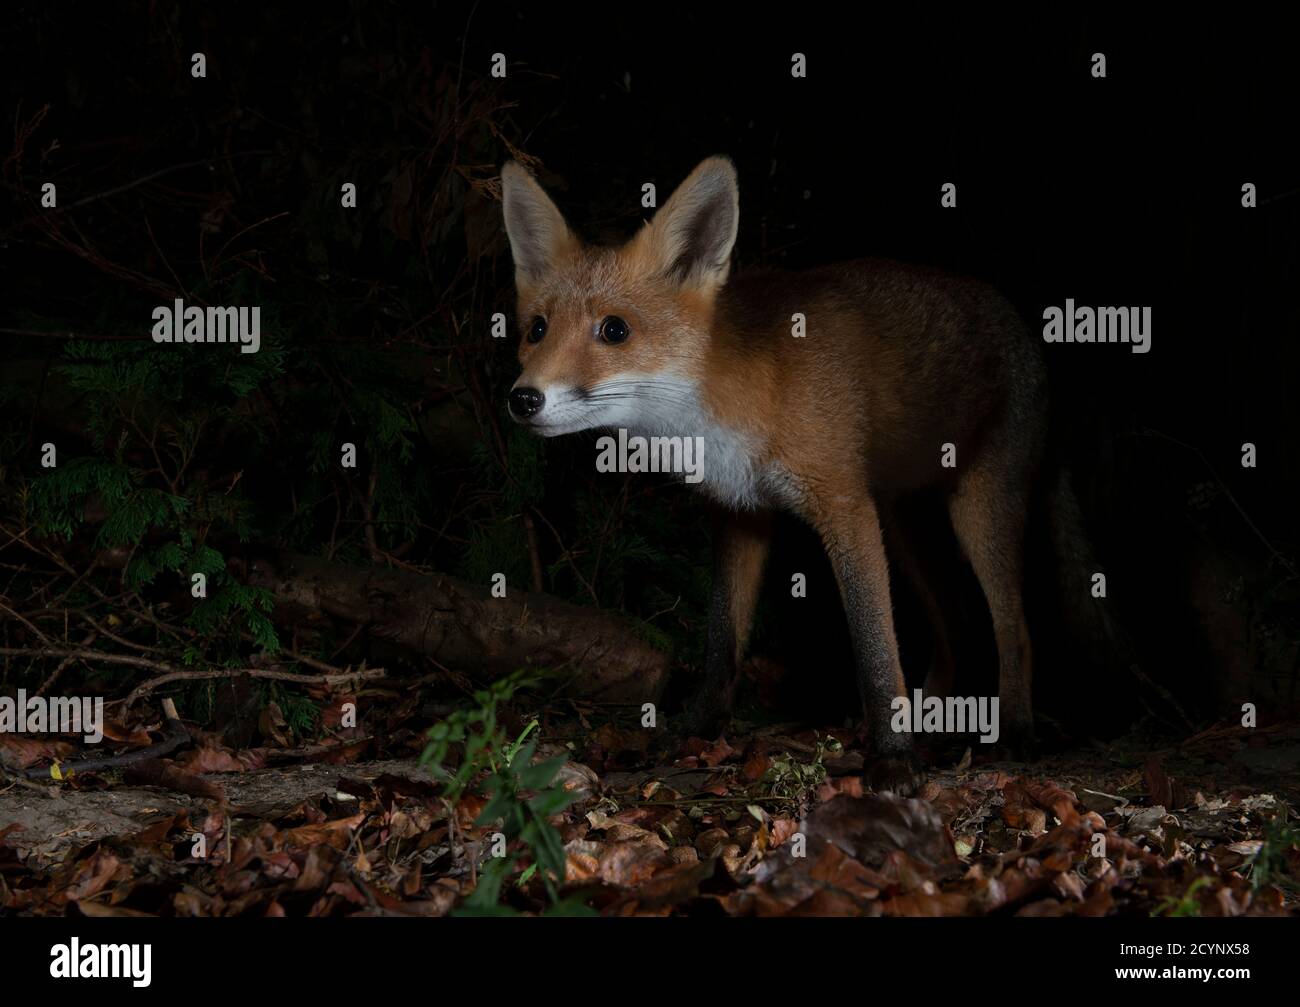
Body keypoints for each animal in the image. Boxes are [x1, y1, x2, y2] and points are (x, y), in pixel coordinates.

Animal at [496, 155, 1055, 795]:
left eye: (615, 330)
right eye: (536, 330)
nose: (523, 399)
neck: (737, 401)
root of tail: (1004, 304)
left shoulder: (844, 506)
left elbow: (874, 644)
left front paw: (892, 757)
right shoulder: (740, 513)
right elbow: (722, 642)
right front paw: (697, 729)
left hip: (979, 510)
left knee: (1014, 628)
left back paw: (1015, 731)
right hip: (906, 527)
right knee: (955, 628)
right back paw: (934, 721)